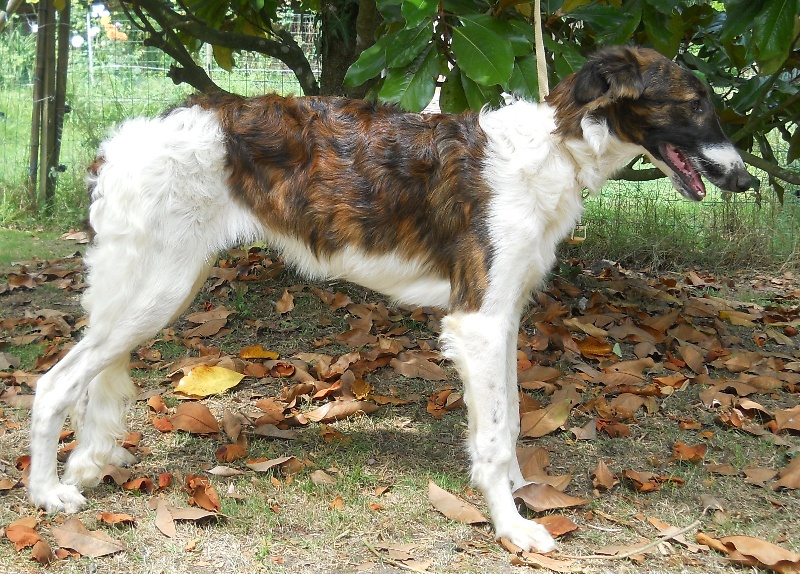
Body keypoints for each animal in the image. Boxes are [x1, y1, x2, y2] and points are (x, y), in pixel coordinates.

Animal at [28, 45, 752, 552]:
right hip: (154, 290)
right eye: (693, 105)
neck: (554, 148)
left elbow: (510, 419)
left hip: (154, 290)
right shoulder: (477, 320)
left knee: (91, 380)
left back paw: (84, 466)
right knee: (54, 383)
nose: (744, 179)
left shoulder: (503, 316)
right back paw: (45, 493)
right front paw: (512, 526)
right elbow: (494, 435)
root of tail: (121, 140)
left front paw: (520, 493)